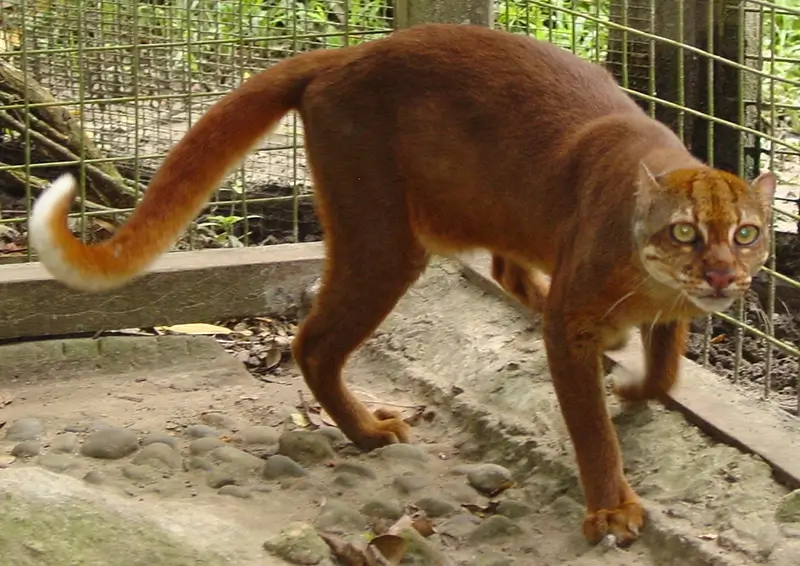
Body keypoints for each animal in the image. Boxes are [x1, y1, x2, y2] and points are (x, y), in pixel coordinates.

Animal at [31, 24, 776, 548]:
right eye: (684, 233)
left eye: (747, 233)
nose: (723, 275)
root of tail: (346, 54)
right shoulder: (573, 322)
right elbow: (592, 427)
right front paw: (612, 509)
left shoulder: (664, 307)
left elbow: (668, 361)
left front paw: (638, 384)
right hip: (384, 237)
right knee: (314, 342)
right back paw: (368, 431)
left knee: (501, 271)